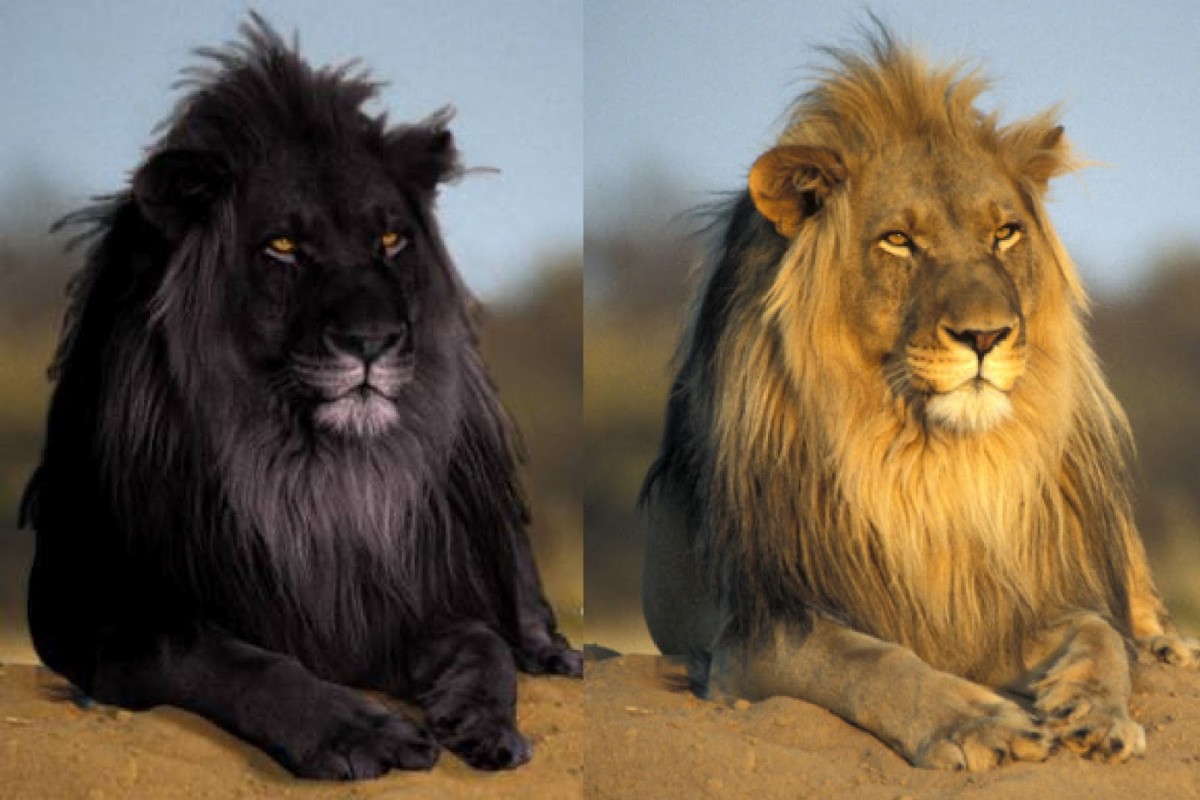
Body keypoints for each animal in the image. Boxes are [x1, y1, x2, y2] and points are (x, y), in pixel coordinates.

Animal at [21, 16, 579, 780]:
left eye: (390, 239)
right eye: (283, 246)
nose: (373, 340)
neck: (311, 480)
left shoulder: (391, 596)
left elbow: (481, 640)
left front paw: (486, 723)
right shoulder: (87, 603)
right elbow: (224, 655)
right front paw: (358, 734)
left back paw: (552, 652)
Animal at [641, 31, 1197, 771]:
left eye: (1005, 234)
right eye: (899, 240)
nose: (986, 335)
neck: (930, 467)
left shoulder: (1008, 602)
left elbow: (1099, 634)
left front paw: (1097, 712)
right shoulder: (756, 628)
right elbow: (867, 660)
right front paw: (979, 722)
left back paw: (1166, 646)